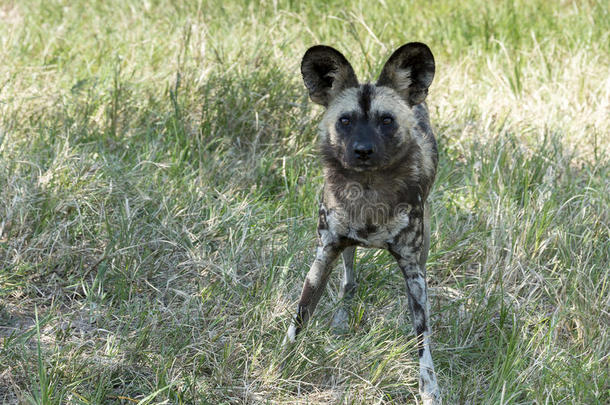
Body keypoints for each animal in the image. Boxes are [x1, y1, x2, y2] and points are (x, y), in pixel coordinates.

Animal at [282, 42, 440, 402]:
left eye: (386, 120)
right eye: (345, 121)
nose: (363, 150)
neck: (368, 194)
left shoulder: (413, 271)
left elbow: (422, 339)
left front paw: (429, 388)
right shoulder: (325, 252)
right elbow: (300, 316)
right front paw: (280, 362)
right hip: (342, 248)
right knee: (349, 279)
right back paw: (342, 317)